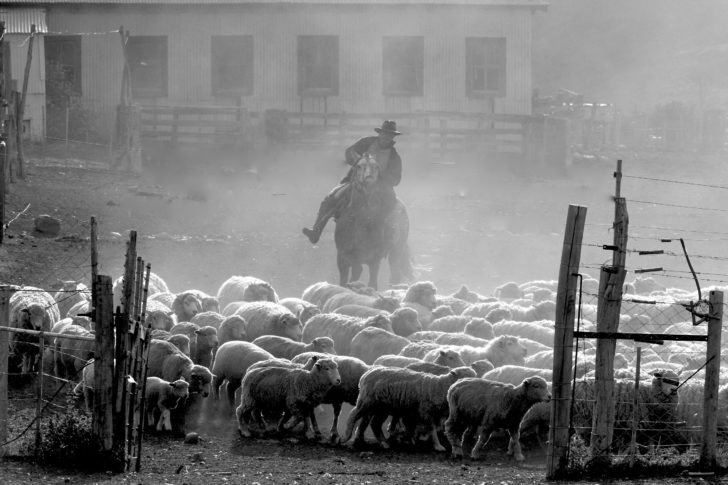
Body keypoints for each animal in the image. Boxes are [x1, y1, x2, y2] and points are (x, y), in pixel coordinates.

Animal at [332, 154, 412, 288]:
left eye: (377, 166)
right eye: (359, 166)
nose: (369, 178)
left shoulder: (374, 259)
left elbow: (372, 283)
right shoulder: (342, 257)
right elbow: (344, 280)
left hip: (397, 249)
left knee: (395, 273)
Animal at [342, 364, 478, 448]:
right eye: (465, 377)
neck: (439, 387)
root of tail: (366, 374)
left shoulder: (417, 413)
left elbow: (412, 428)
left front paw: (412, 441)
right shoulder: (426, 412)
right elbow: (431, 430)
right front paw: (438, 446)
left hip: (381, 408)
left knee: (374, 424)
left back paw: (383, 443)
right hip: (366, 401)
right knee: (354, 415)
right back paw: (345, 437)